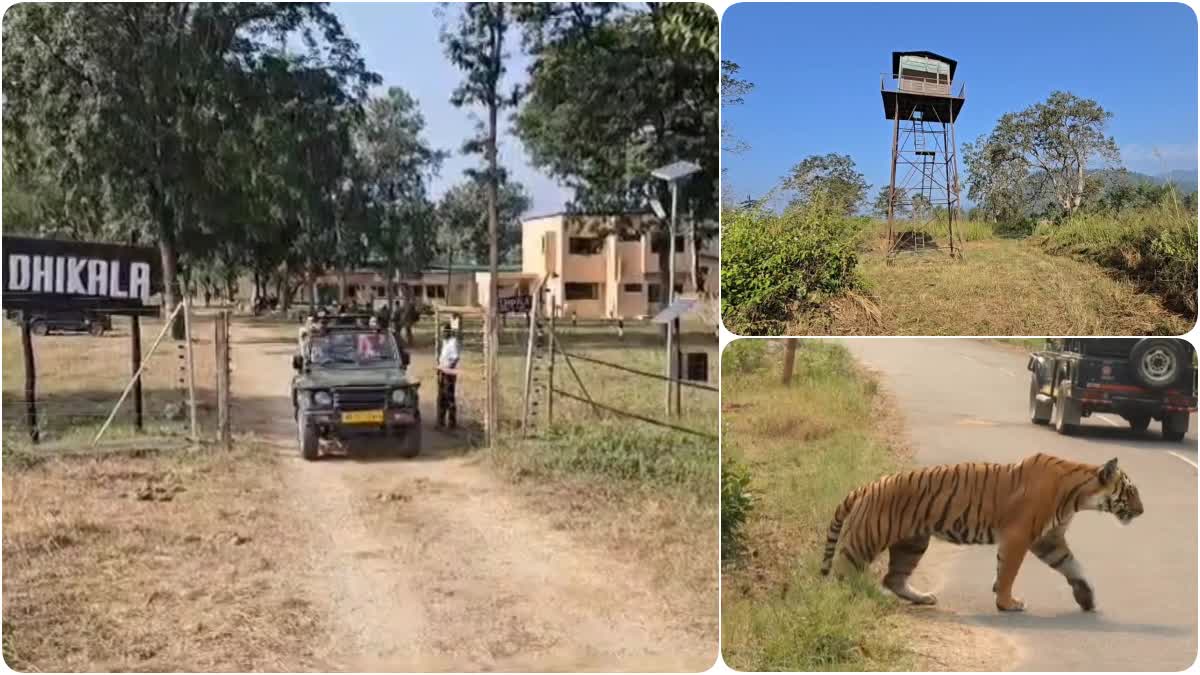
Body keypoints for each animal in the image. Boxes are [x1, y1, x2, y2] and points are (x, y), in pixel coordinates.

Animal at [816, 451, 1142, 610]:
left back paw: (921, 598)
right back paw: (842, 600)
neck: (1078, 496)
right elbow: (1008, 572)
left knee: (893, 578)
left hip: (912, 543)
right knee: (843, 572)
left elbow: (1073, 566)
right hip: (866, 539)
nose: (1141, 511)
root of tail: (868, 485)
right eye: (1131, 491)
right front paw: (1007, 603)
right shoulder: (1020, 536)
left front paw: (1086, 597)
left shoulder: (1049, 540)